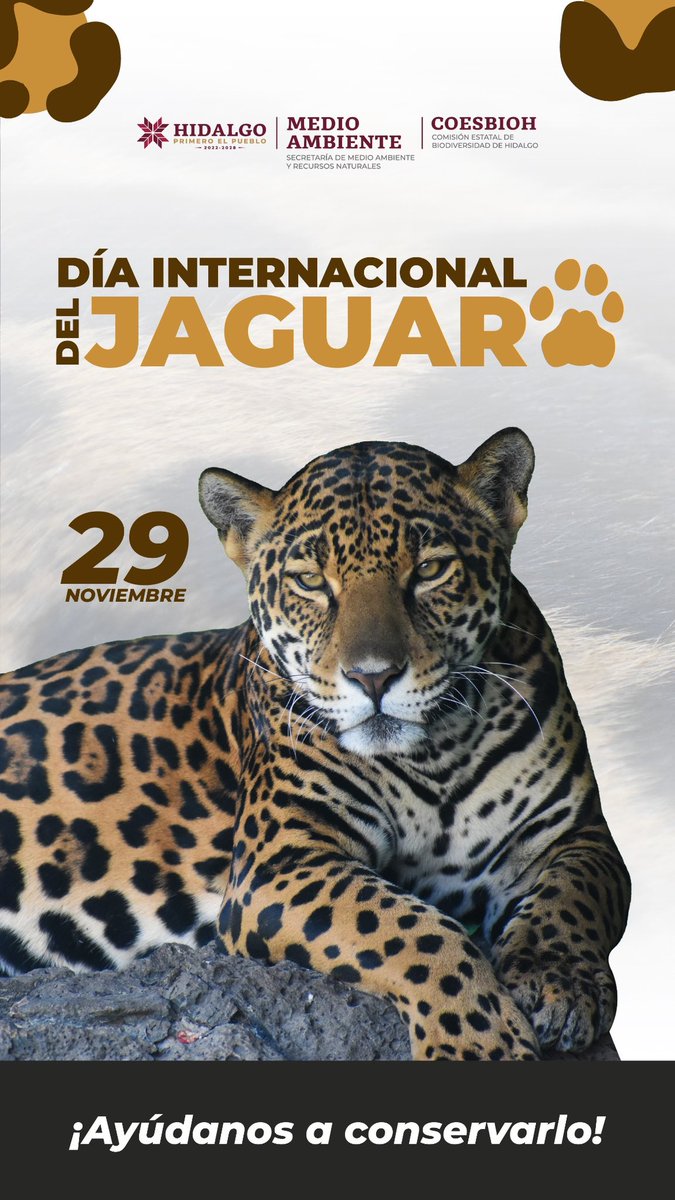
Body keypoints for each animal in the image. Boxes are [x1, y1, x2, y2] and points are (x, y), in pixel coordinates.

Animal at [0, 428, 631, 1061]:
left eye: (430, 570)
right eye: (309, 582)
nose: (373, 677)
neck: (435, 756)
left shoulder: (573, 833)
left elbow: (574, 895)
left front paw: (558, 980)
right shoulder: (279, 862)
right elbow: (415, 931)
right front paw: (479, 1045)